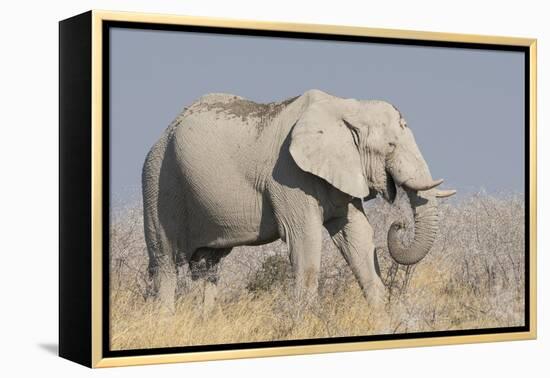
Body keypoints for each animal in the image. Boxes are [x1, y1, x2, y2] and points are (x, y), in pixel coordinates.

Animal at [142, 88, 458, 310]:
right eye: (390, 146)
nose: (399, 225)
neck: (347, 107)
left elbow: (357, 236)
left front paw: (382, 319)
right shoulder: (288, 173)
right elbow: (304, 239)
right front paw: (304, 323)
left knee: (206, 266)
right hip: (158, 180)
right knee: (166, 263)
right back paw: (166, 322)